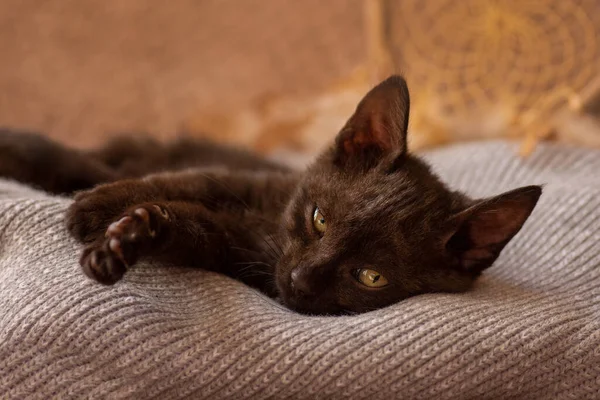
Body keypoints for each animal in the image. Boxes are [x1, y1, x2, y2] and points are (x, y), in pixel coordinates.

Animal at [0, 74, 540, 312]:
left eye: (370, 277)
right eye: (319, 218)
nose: (300, 279)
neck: (266, 231)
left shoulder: (226, 248)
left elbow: (190, 225)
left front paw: (130, 234)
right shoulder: (245, 179)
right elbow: (186, 181)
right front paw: (97, 209)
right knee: (85, 159)